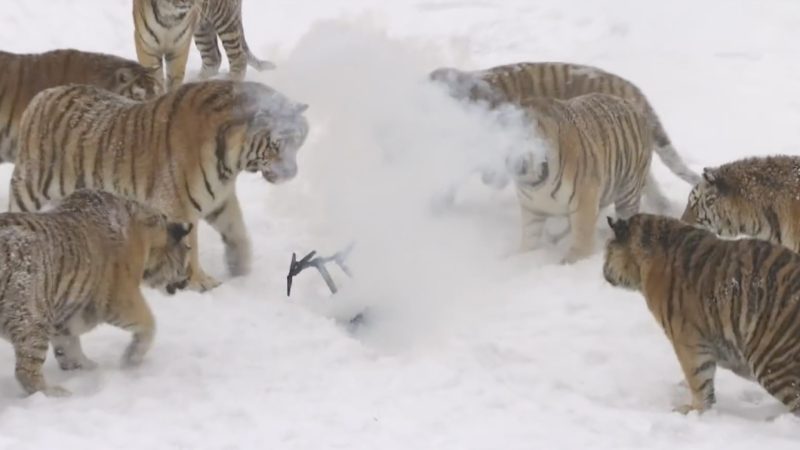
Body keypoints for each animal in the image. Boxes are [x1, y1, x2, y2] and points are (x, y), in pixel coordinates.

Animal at [0, 189, 192, 397]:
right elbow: (149, 323)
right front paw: (131, 357)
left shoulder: (67, 313)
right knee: (26, 372)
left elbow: (70, 346)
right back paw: (56, 393)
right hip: (32, 319)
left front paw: (87, 368)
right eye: (187, 252)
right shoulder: (121, 299)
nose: (187, 281)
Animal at [10, 79, 310, 292]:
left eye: (299, 141)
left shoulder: (220, 200)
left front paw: (241, 266)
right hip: (31, 186)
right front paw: (200, 281)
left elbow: (237, 230)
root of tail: (42, 96)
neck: (230, 163)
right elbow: (191, 246)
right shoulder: (179, 205)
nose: (292, 172)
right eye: (277, 144)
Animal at [133, 0, 275, 91]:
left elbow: (173, 79)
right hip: (203, 30)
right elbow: (153, 77)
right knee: (214, 59)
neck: (171, 14)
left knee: (239, 57)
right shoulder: (146, 47)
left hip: (225, 20)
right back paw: (197, 81)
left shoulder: (179, 48)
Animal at [509, 93, 693, 263]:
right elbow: (529, 239)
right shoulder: (532, 210)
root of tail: (634, 107)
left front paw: (573, 260)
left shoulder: (585, 200)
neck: (536, 184)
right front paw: (521, 257)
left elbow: (582, 233)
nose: (517, 164)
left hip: (627, 191)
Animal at [603, 213, 800, 416]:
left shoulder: (688, 339)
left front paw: (693, 409)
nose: (603, 272)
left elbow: (698, 377)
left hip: (772, 358)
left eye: (607, 251)